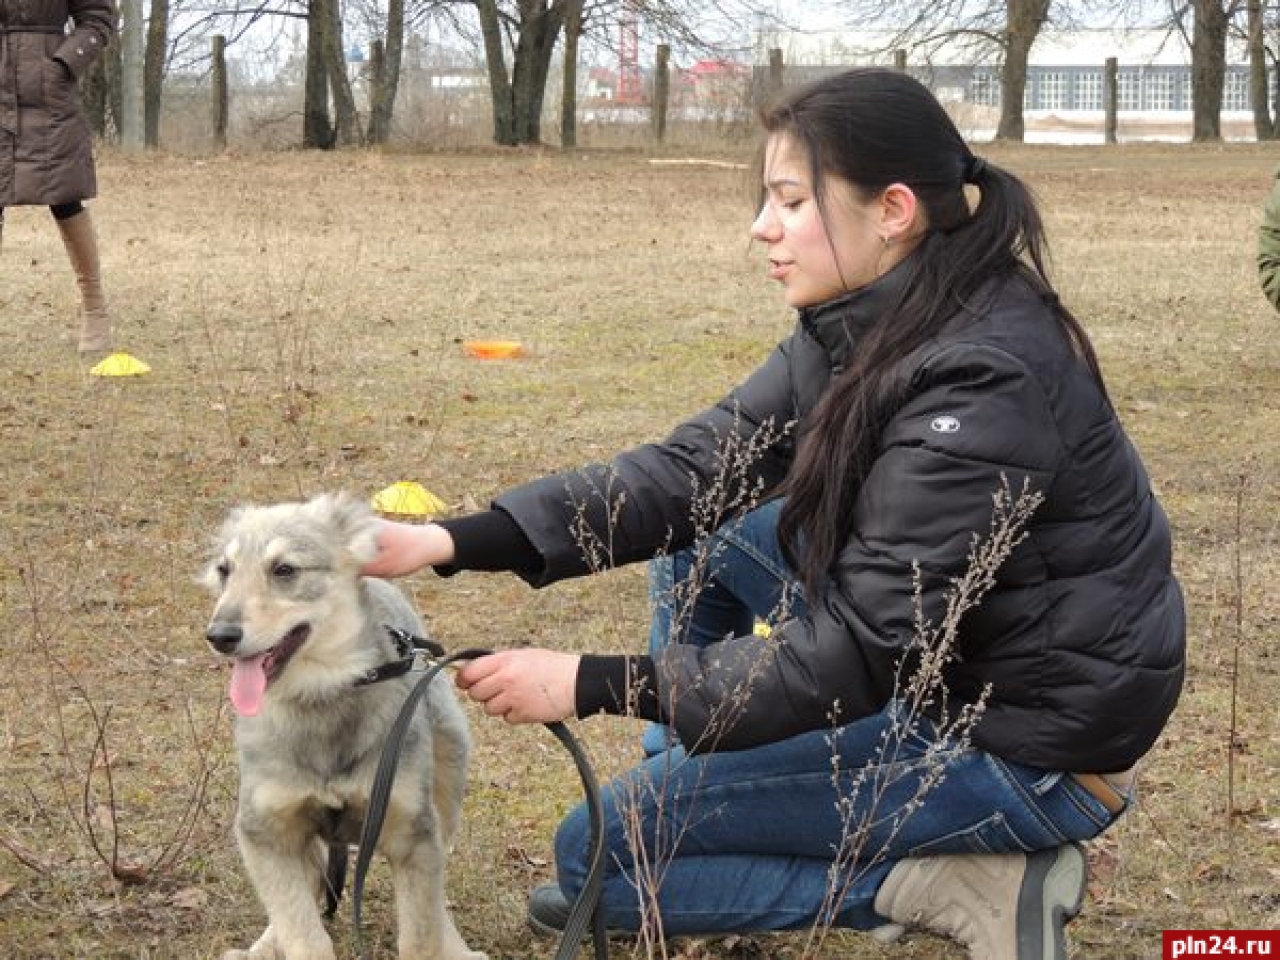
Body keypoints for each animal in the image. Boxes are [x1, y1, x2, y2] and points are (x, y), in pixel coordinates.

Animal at [202, 496, 486, 960]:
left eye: (284, 569)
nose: (220, 635)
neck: (321, 695)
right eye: (225, 570)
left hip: (448, 771)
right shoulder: (266, 830)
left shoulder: (411, 830)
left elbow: (421, 934)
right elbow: (302, 929)